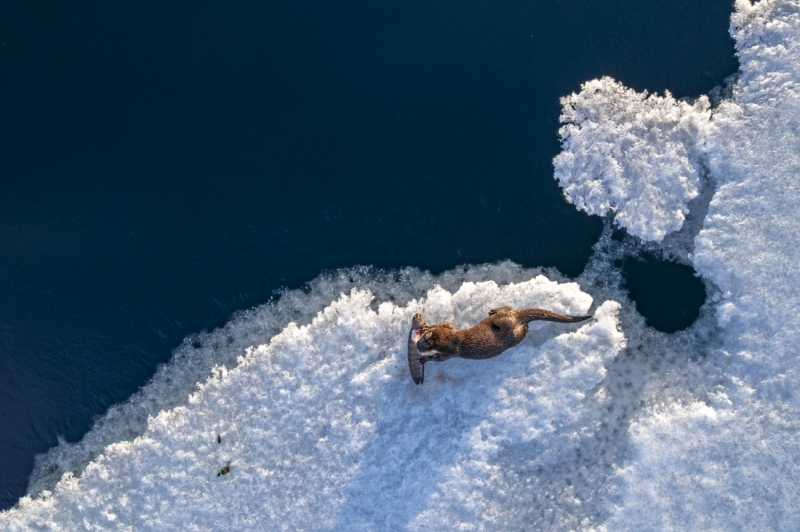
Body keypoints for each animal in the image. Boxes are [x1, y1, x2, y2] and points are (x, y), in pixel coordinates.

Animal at [407, 306, 591, 383]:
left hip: (512, 333)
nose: (417, 346)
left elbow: (441, 358)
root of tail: (516, 319)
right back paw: (495, 309)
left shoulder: (451, 351)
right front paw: (429, 326)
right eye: (423, 339)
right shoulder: (450, 329)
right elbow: (446, 323)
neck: (453, 337)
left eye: (427, 346)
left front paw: (424, 359)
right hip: (504, 322)